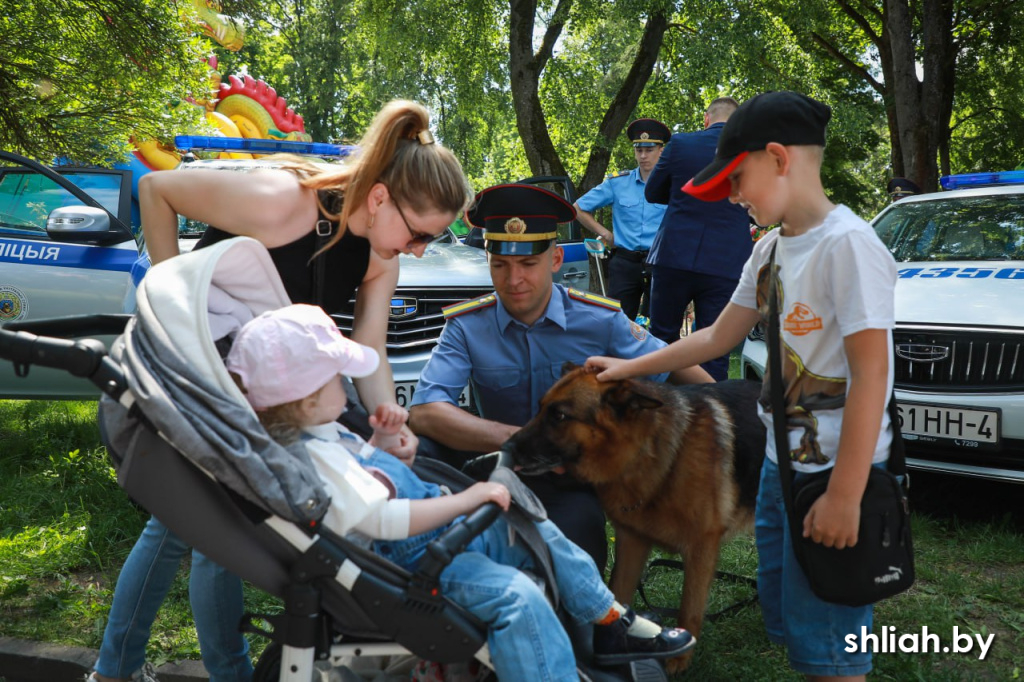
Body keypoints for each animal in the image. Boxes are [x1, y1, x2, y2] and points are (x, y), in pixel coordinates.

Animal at [507, 364, 765, 671]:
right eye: (540, 408)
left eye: (559, 416)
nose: (506, 446)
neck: (652, 455)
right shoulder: (632, 542)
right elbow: (617, 591)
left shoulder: (701, 550)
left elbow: (689, 608)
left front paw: (678, 660)